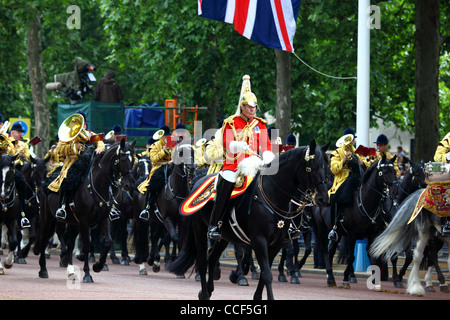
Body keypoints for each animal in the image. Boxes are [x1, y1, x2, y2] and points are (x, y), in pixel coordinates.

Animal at [34, 140, 134, 282]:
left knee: (69, 245)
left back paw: (70, 271)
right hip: (47, 217)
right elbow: (86, 245)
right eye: (123, 158)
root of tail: (45, 181)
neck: (96, 185)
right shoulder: (84, 221)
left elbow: (108, 242)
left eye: (133, 160)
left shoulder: (103, 219)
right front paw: (87, 274)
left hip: (73, 223)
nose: (128, 184)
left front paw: (98, 265)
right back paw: (43, 269)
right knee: (44, 239)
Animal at [167, 141, 328, 300]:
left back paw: (209, 289)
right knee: (202, 260)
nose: (323, 199)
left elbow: (265, 272)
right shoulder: (259, 240)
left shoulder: (276, 243)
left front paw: (256, 295)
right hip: (199, 229)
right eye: (311, 167)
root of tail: (196, 181)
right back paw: (205, 293)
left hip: (225, 236)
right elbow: (267, 274)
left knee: (212, 257)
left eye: (325, 167)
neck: (272, 195)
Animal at [312, 154, 400, 288]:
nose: (395, 191)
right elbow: (351, 258)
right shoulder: (352, 236)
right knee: (325, 251)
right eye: (383, 171)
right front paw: (345, 279)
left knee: (331, 251)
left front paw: (376, 281)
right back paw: (331, 278)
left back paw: (331, 276)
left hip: (338, 234)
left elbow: (374, 255)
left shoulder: (373, 235)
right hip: (322, 229)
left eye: (394, 171)